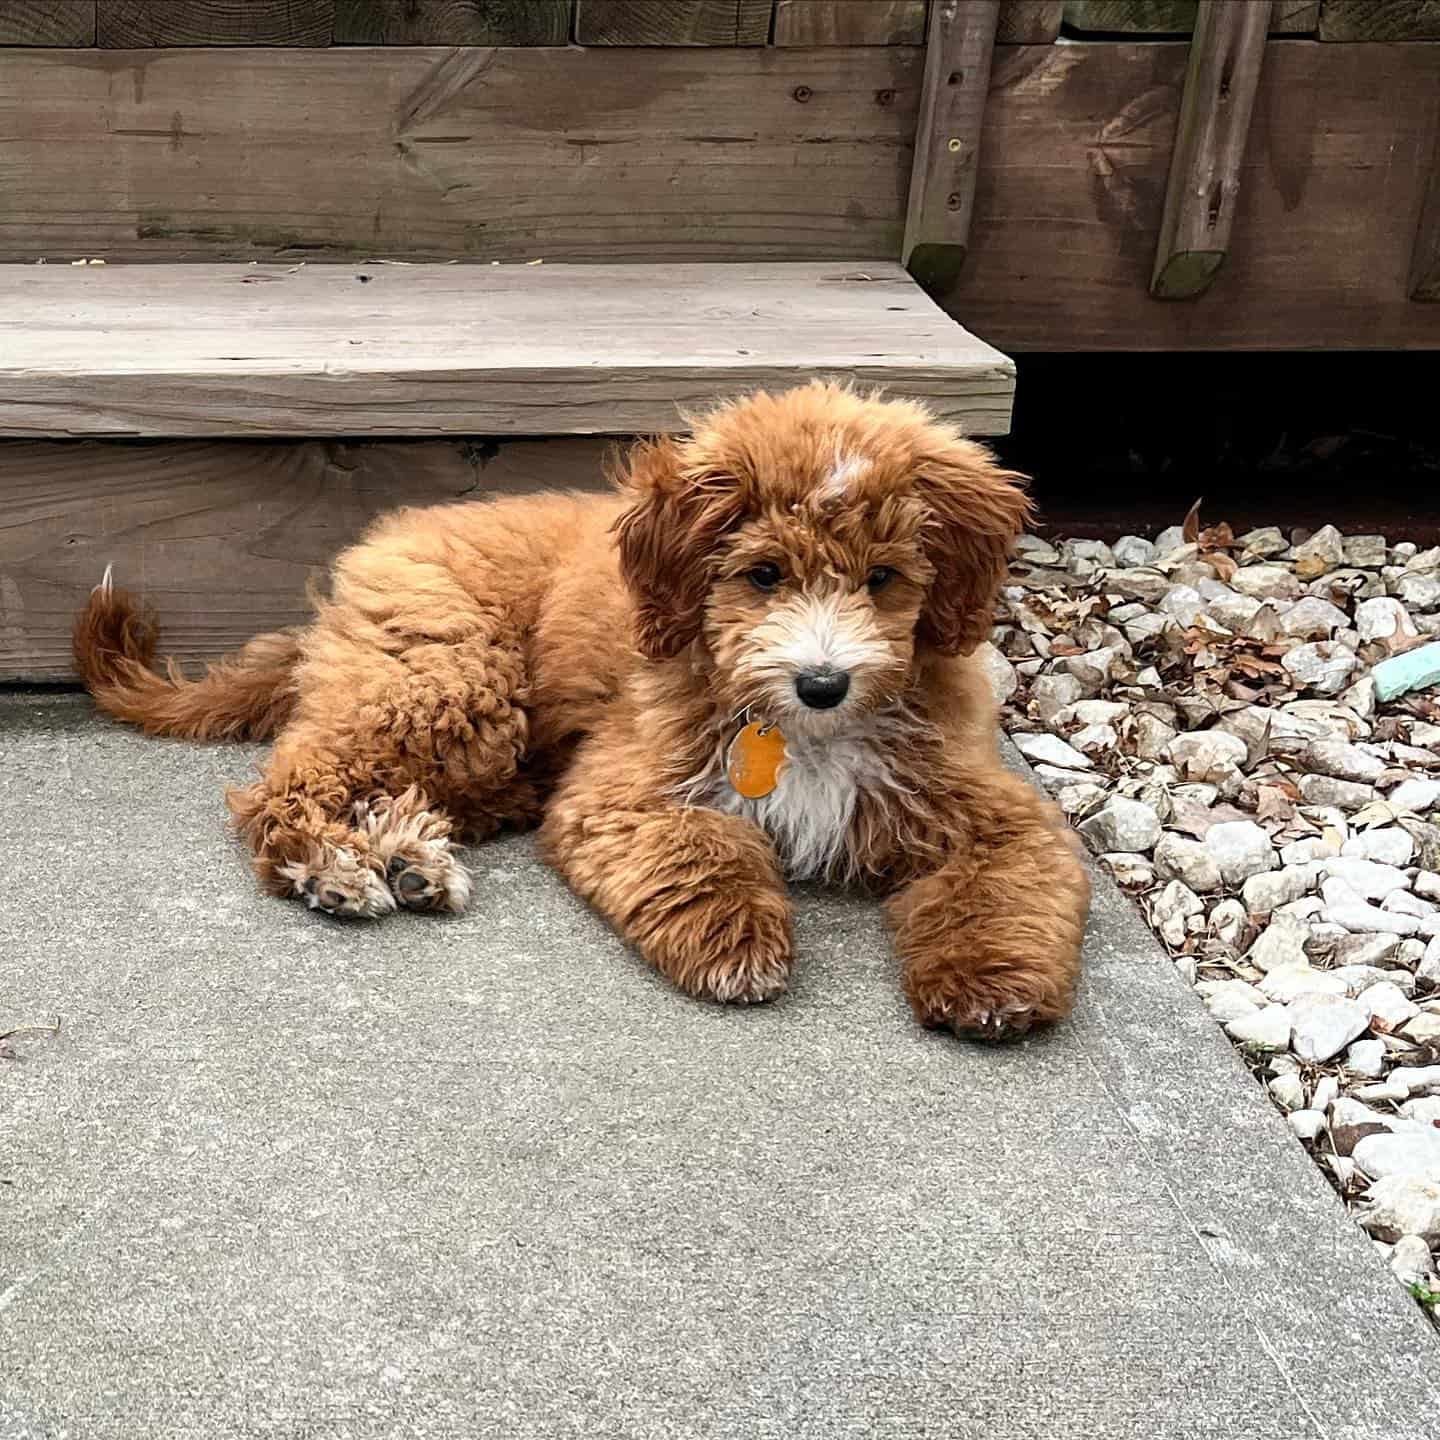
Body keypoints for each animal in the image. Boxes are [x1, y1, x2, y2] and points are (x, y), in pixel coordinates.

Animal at [73, 383, 1082, 1036]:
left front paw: (992, 979)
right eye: (762, 575)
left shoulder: (990, 806)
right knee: (284, 785)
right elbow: (701, 850)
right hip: (446, 684)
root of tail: (369, 558)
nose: (823, 682)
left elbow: (1008, 883)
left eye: (883, 579)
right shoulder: (625, 790)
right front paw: (735, 941)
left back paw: (408, 856)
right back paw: (336, 866)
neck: (804, 736)